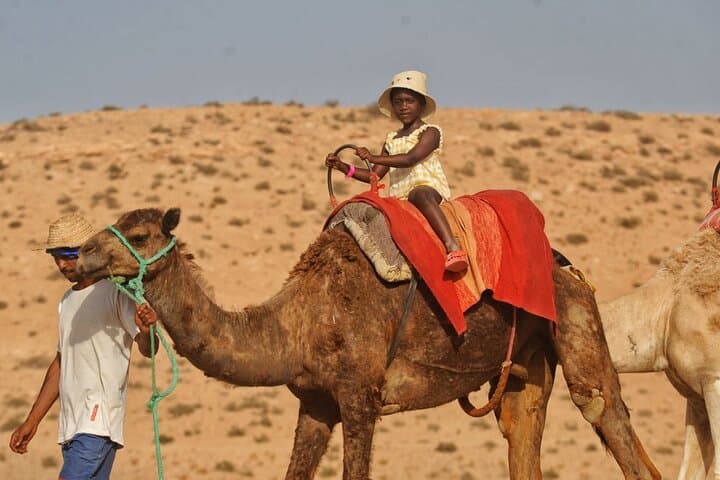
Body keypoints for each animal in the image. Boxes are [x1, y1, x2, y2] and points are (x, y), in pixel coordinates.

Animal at [76, 207, 661, 480]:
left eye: (141, 234)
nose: (77, 257)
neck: (296, 323)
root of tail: (568, 267)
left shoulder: (362, 395)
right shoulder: (315, 401)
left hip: (576, 318)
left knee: (604, 408)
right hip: (528, 360)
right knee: (521, 431)